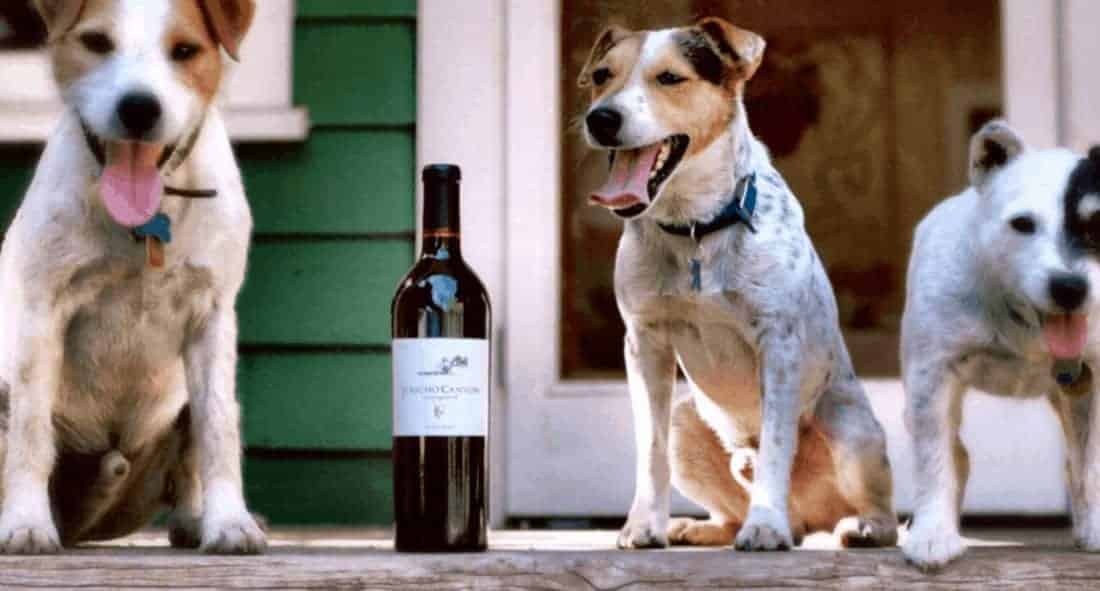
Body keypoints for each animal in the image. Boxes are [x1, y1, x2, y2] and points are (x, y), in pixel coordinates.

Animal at [0, 0, 264, 552]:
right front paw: (26, 522)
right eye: (97, 42)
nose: (139, 108)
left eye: (185, 50)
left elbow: (218, 430)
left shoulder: (212, 317)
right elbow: (31, 432)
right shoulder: (41, 313)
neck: (148, 217)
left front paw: (229, 522)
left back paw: (194, 518)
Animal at [580, 18, 897, 550]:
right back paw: (695, 527)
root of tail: (805, 519)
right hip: (686, 419)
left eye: (670, 78)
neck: (694, 227)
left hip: (853, 432)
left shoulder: (778, 342)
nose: (600, 119)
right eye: (603, 74)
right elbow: (650, 448)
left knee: (883, 514)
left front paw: (764, 526)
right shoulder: (645, 343)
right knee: (728, 508)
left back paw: (854, 527)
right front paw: (645, 525)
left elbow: (775, 443)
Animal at [902, 118, 1100, 567]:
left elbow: (1092, 465)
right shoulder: (931, 377)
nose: (1070, 287)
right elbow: (934, 459)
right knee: (956, 455)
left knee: (1076, 461)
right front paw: (933, 533)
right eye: (1023, 224)